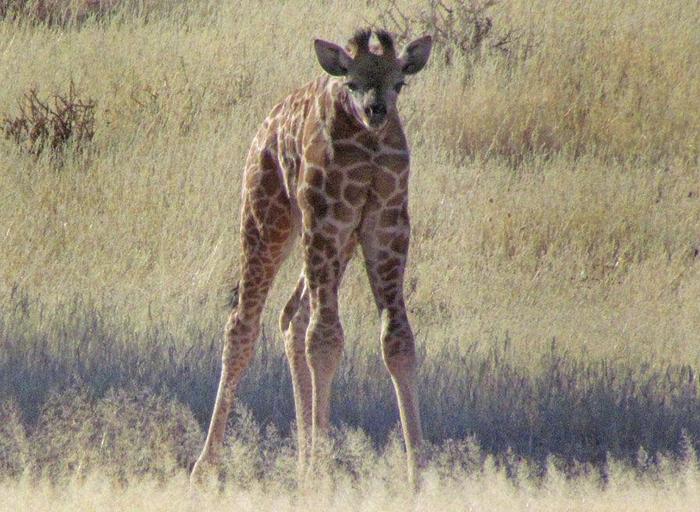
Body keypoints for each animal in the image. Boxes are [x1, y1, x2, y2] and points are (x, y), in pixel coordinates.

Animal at [191, 28, 432, 488]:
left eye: (400, 83)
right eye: (351, 83)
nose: (376, 111)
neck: (367, 145)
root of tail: (266, 124)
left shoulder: (387, 227)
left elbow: (397, 340)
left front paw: (419, 476)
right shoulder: (327, 220)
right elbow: (325, 339)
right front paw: (324, 474)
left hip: (335, 243)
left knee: (290, 315)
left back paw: (302, 463)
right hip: (270, 217)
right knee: (243, 324)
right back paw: (205, 469)